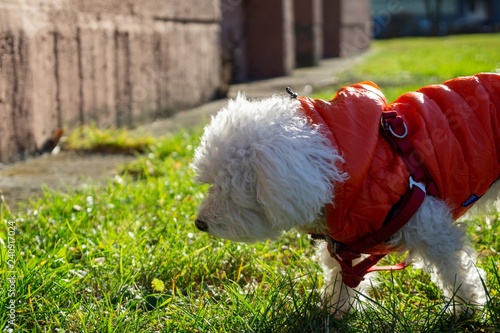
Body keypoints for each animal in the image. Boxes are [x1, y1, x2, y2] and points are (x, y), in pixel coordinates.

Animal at [191, 72, 500, 312]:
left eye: (230, 190)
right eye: (211, 183)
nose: (199, 223)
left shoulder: (432, 228)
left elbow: (455, 270)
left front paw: (469, 309)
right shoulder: (347, 244)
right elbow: (340, 276)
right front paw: (338, 310)